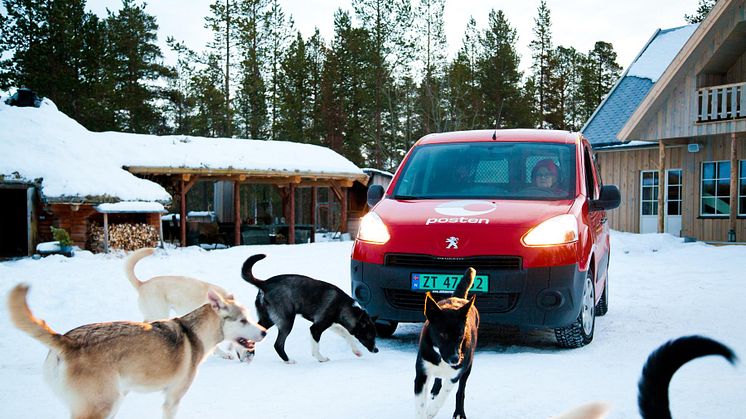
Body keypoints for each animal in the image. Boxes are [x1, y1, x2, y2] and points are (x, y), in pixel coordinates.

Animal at [7, 282, 266, 419]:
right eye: (243, 320)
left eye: (249, 318)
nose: (264, 332)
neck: (194, 332)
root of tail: (66, 340)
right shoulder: (172, 399)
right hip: (101, 406)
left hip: (111, 402)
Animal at [241, 253, 378, 364]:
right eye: (370, 336)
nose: (376, 350)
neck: (342, 305)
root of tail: (264, 283)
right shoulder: (316, 328)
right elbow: (316, 347)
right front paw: (321, 359)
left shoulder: (332, 324)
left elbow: (347, 335)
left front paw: (356, 351)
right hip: (286, 321)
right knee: (278, 345)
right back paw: (288, 360)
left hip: (268, 319)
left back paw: (247, 355)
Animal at [412, 270, 476, 419]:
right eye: (443, 334)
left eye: (460, 334)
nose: (455, 359)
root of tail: (458, 298)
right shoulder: (421, 373)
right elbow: (420, 404)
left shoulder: (455, 375)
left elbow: (443, 396)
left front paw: (430, 411)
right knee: (438, 378)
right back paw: (435, 389)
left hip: (468, 367)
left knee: (460, 391)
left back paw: (459, 412)